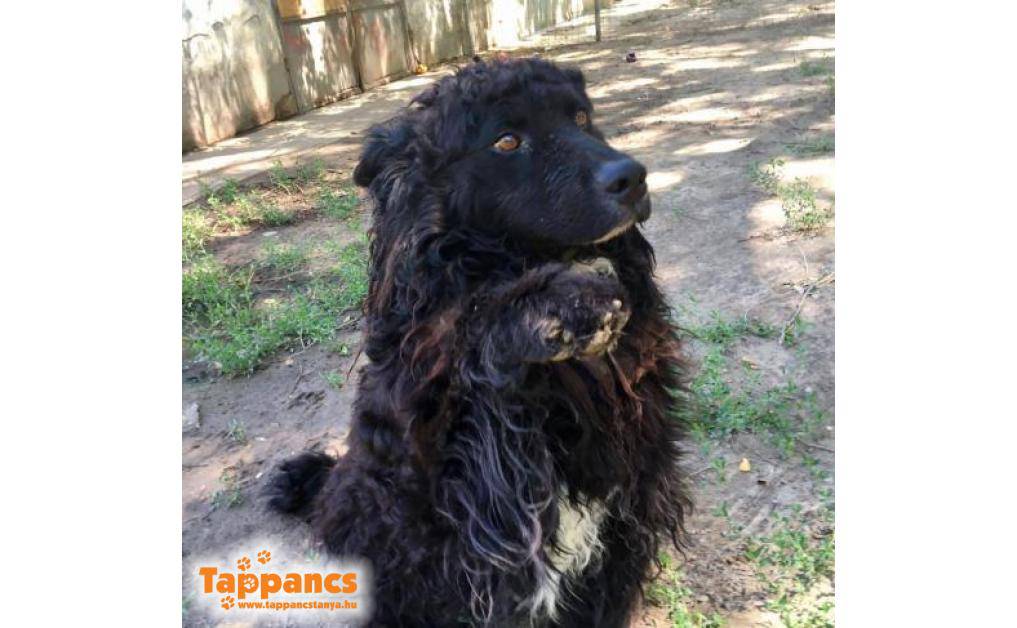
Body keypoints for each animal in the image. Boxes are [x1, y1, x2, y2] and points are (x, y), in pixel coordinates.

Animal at [268, 57, 691, 627]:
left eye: (581, 117)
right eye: (506, 141)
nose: (632, 177)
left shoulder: (628, 510)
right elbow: (467, 325)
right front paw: (560, 304)